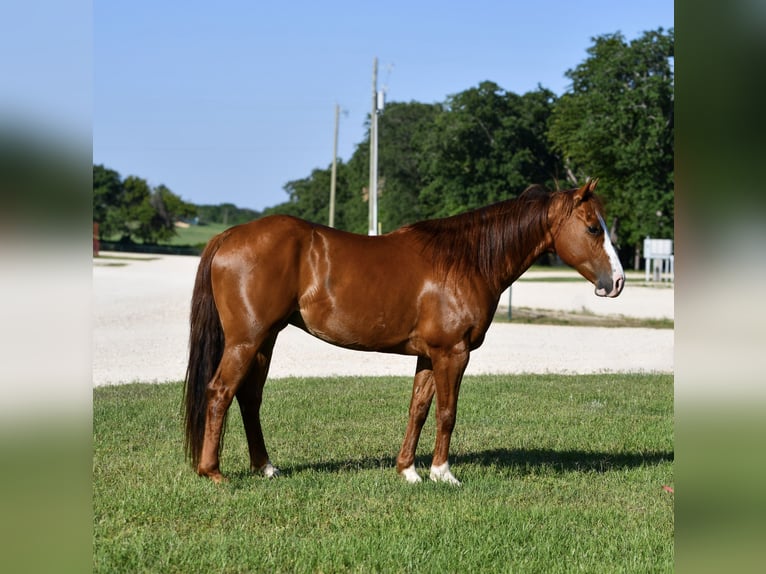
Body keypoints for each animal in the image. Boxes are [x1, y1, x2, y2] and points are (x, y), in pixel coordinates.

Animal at [183, 179, 624, 485]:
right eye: (592, 228)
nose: (617, 282)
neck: (465, 259)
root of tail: (229, 235)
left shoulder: (429, 355)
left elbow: (419, 409)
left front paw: (408, 471)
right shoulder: (453, 353)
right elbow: (447, 413)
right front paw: (443, 473)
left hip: (266, 339)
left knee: (249, 398)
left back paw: (265, 467)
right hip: (246, 340)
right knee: (220, 392)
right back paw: (213, 472)